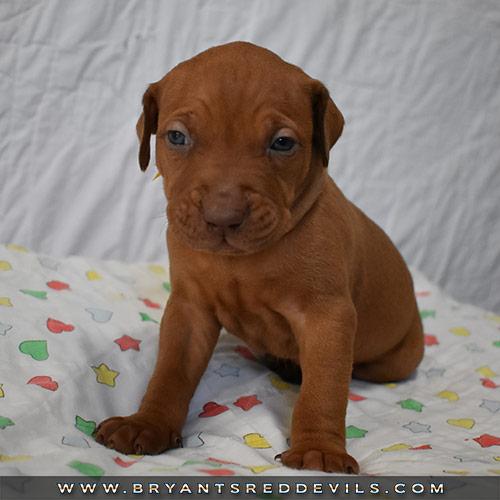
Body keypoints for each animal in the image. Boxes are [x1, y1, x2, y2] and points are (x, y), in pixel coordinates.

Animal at [95, 42, 424, 472]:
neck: (242, 260)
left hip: (400, 358)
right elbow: (169, 371)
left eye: (282, 143)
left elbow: (324, 387)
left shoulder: (327, 317)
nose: (223, 216)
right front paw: (146, 423)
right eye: (177, 136)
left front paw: (320, 450)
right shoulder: (188, 308)